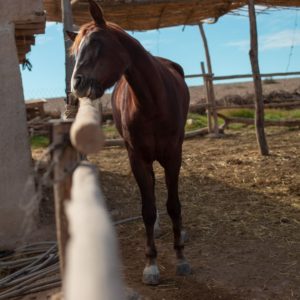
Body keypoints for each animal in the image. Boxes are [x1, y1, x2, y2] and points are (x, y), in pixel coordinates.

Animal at [68, 0, 190, 286]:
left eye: (96, 43)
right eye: (74, 52)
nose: (76, 84)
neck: (153, 103)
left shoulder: (173, 156)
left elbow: (174, 205)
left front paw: (180, 257)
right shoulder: (137, 158)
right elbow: (147, 209)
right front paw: (151, 265)